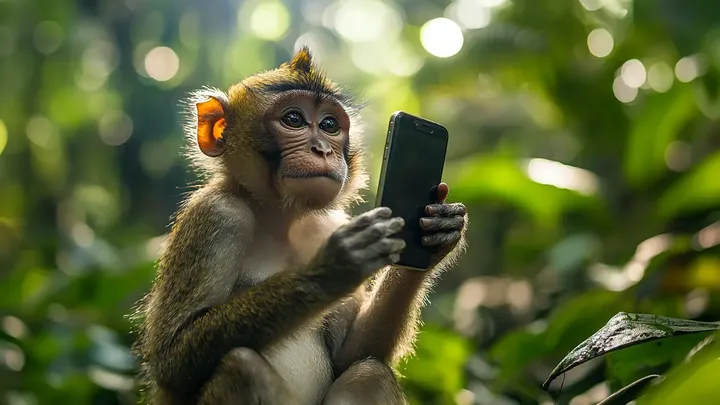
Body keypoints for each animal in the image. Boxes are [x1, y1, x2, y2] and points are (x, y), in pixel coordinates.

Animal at [129, 46, 468, 405]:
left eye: (329, 125)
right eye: (293, 119)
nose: (322, 149)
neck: (280, 216)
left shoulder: (328, 223)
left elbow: (352, 354)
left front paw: (440, 234)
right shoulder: (217, 216)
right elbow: (171, 360)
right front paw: (331, 270)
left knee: (369, 372)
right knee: (241, 365)